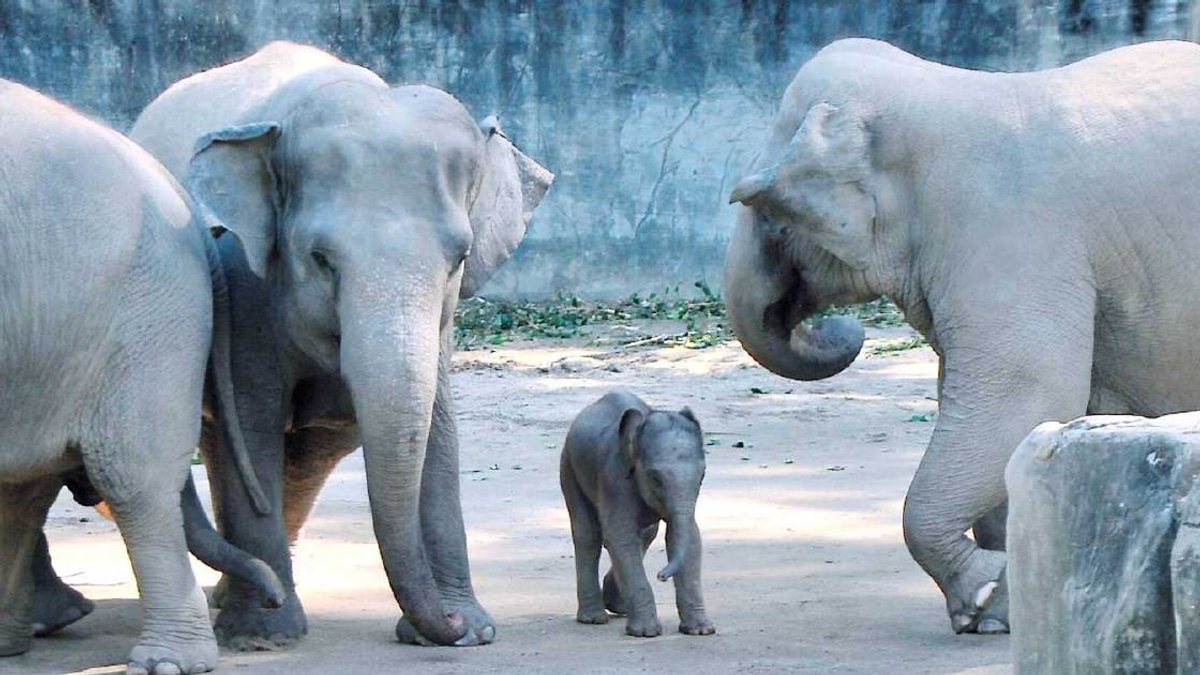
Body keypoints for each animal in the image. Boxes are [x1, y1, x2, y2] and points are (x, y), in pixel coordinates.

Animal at [126, 42, 553, 648]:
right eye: (320, 259)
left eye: (460, 259)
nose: (445, 626)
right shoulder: (246, 283)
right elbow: (252, 419)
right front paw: (264, 637)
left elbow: (437, 423)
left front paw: (470, 631)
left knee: (308, 454)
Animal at [560, 391, 715, 638]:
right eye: (655, 478)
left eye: (703, 475)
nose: (661, 576)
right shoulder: (615, 479)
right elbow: (620, 537)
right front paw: (645, 633)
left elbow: (689, 538)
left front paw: (701, 631)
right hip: (569, 467)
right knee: (588, 536)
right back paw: (593, 618)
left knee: (646, 533)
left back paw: (617, 606)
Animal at [723, 38, 1200, 635]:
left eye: (770, 215)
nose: (839, 328)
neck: (936, 89)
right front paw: (1000, 612)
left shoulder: (1009, 233)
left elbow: (1026, 392)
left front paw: (983, 597)